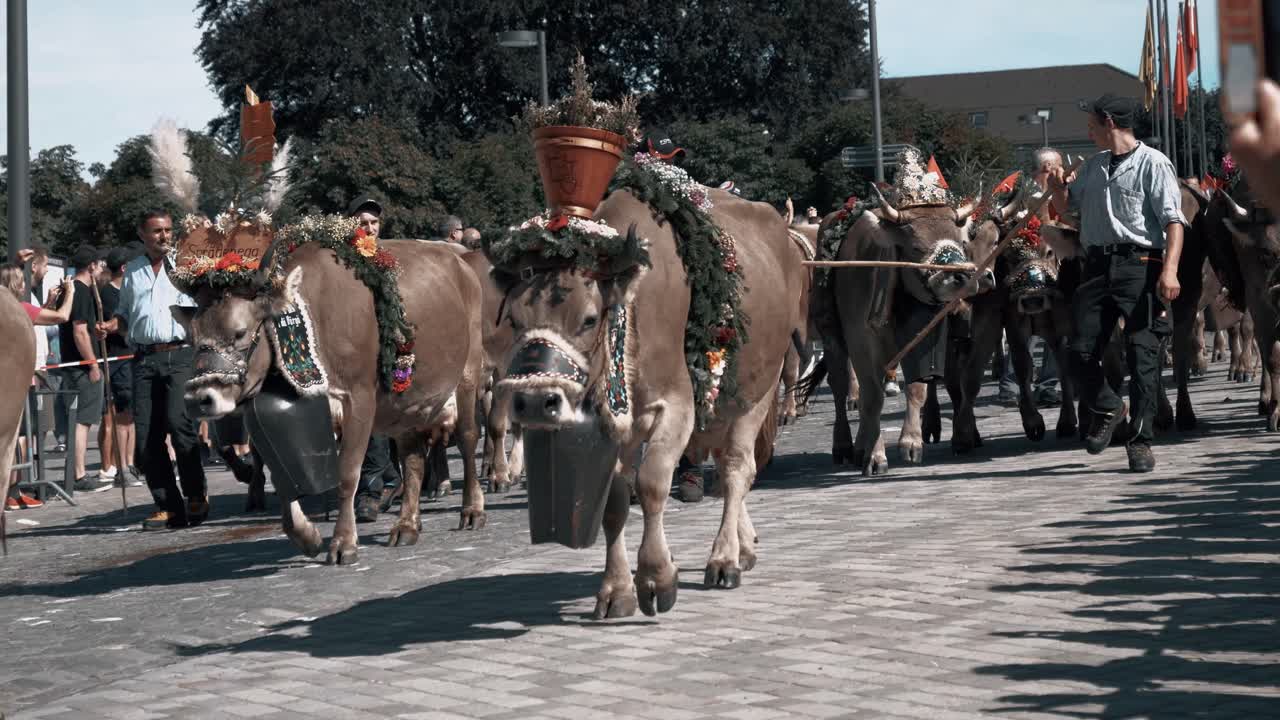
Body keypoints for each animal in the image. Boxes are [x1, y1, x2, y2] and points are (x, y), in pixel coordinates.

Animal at [180, 239, 487, 564]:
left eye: (239, 332)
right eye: (192, 337)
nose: (198, 399)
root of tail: (459, 260)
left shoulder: (360, 399)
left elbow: (348, 474)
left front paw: (343, 542)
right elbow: (285, 480)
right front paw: (307, 537)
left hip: (468, 375)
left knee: (468, 438)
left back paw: (472, 510)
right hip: (405, 403)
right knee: (413, 458)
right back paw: (406, 526)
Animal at [490, 187, 803, 617]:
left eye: (589, 319)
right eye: (514, 320)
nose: (537, 402)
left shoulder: (678, 405)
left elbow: (652, 483)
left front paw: (657, 576)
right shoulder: (614, 425)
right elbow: (615, 502)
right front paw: (616, 589)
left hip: (758, 391)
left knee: (738, 468)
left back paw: (724, 559)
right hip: (719, 406)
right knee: (727, 467)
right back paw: (743, 546)